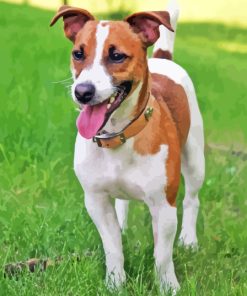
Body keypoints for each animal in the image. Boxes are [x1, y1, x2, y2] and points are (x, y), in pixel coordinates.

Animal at [49, 0, 205, 292]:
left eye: (117, 56)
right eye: (78, 54)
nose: (82, 92)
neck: (119, 136)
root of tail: (164, 58)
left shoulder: (164, 206)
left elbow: (162, 255)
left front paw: (168, 286)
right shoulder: (96, 200)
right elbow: (112, 247)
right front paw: (115, 282)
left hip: (195, 159)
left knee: (192, 199)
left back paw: (189, 239)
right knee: (122, 204)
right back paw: (122, 225)